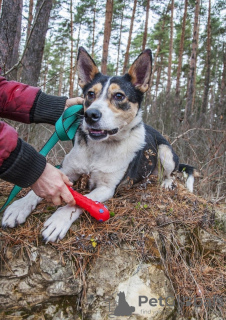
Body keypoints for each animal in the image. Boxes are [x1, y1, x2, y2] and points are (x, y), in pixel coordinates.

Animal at [1, 47, 196, 242]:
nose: (90, 115)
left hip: (165, 152)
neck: (99, 148)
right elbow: (40, 185)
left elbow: (84, 202)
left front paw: (59, 220)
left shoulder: (107, 188)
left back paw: (166, 183)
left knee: (171, 172)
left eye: (119, 96)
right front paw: (19, 206)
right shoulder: (66, 171)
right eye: (90, 94)